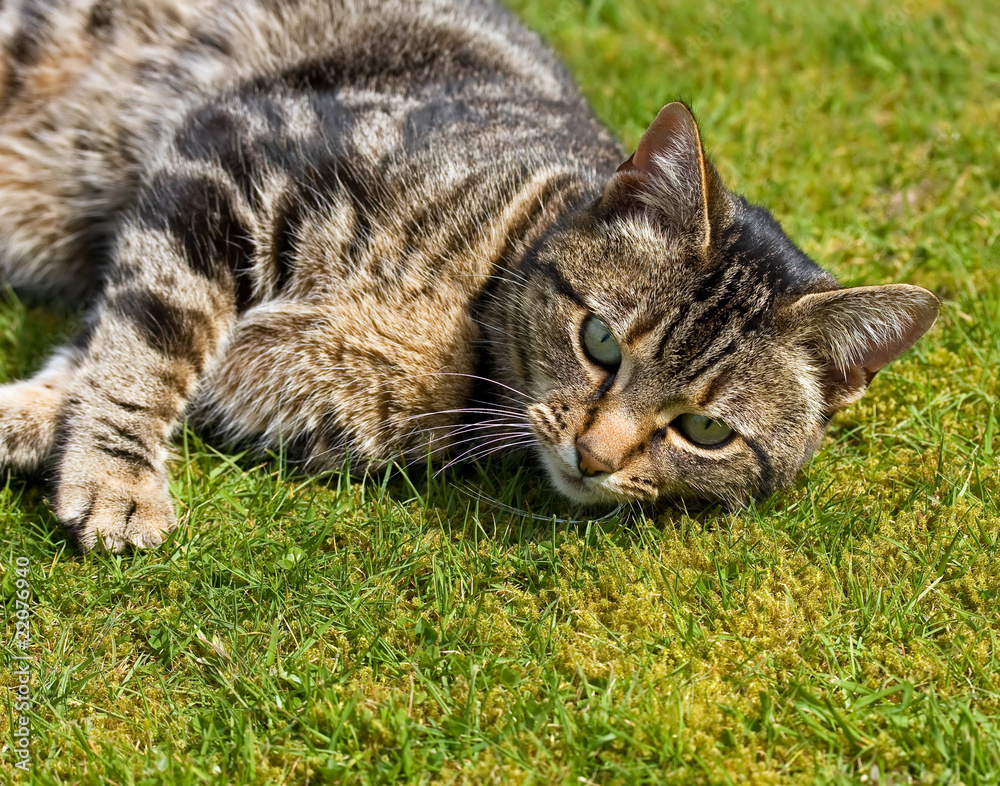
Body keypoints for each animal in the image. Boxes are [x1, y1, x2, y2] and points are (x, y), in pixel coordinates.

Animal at [0, 0, 936, 552]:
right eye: (600, 341)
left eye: (705, 432)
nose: (593, 457)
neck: (473, 323)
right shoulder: (231, 153)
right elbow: (151, 335)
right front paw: (116, 474)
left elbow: (110, 342)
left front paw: (40, 420)